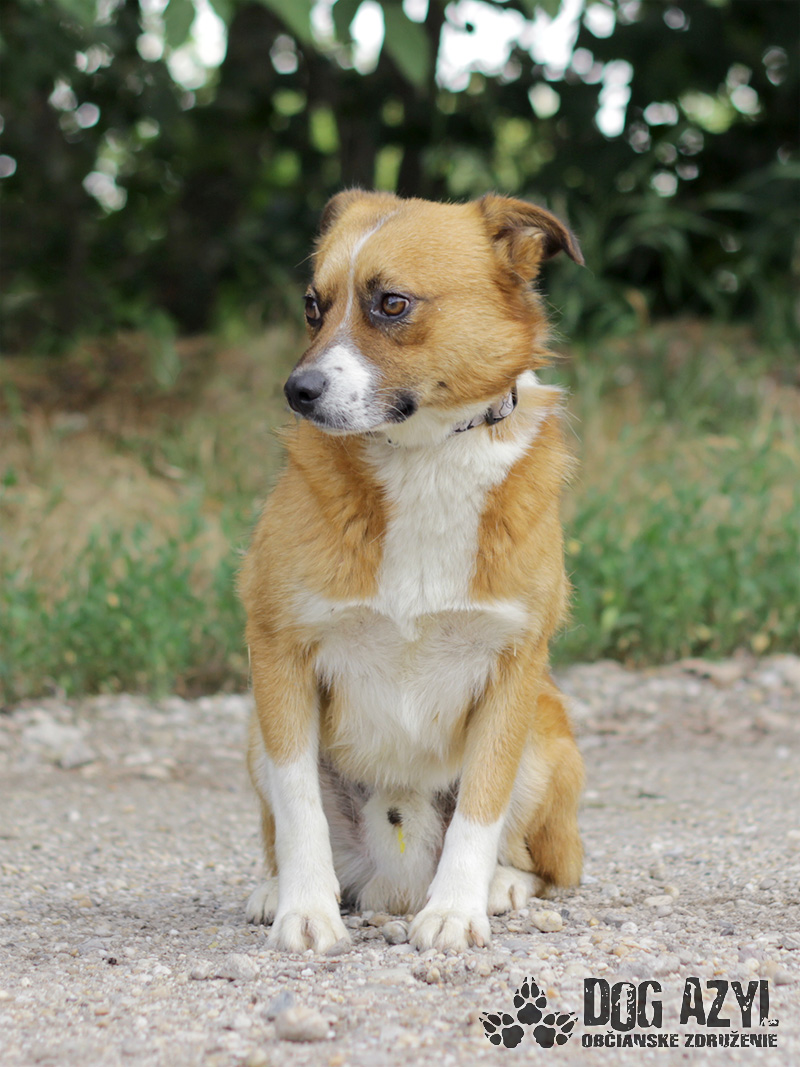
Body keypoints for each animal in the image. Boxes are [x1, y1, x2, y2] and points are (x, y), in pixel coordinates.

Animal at [239, 190, 585, 953]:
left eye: (392, 303)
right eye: (313, 305)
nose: (297, 391)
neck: (424, 456)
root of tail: (392, 887)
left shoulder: (513, 665)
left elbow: (481, 807)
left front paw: (456, 909)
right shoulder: (279, 652)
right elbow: (300, 807)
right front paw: (305, 909)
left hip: (546, 739)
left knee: (544, 863)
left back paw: (500, 885)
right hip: (254, 734)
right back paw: (278, 889)